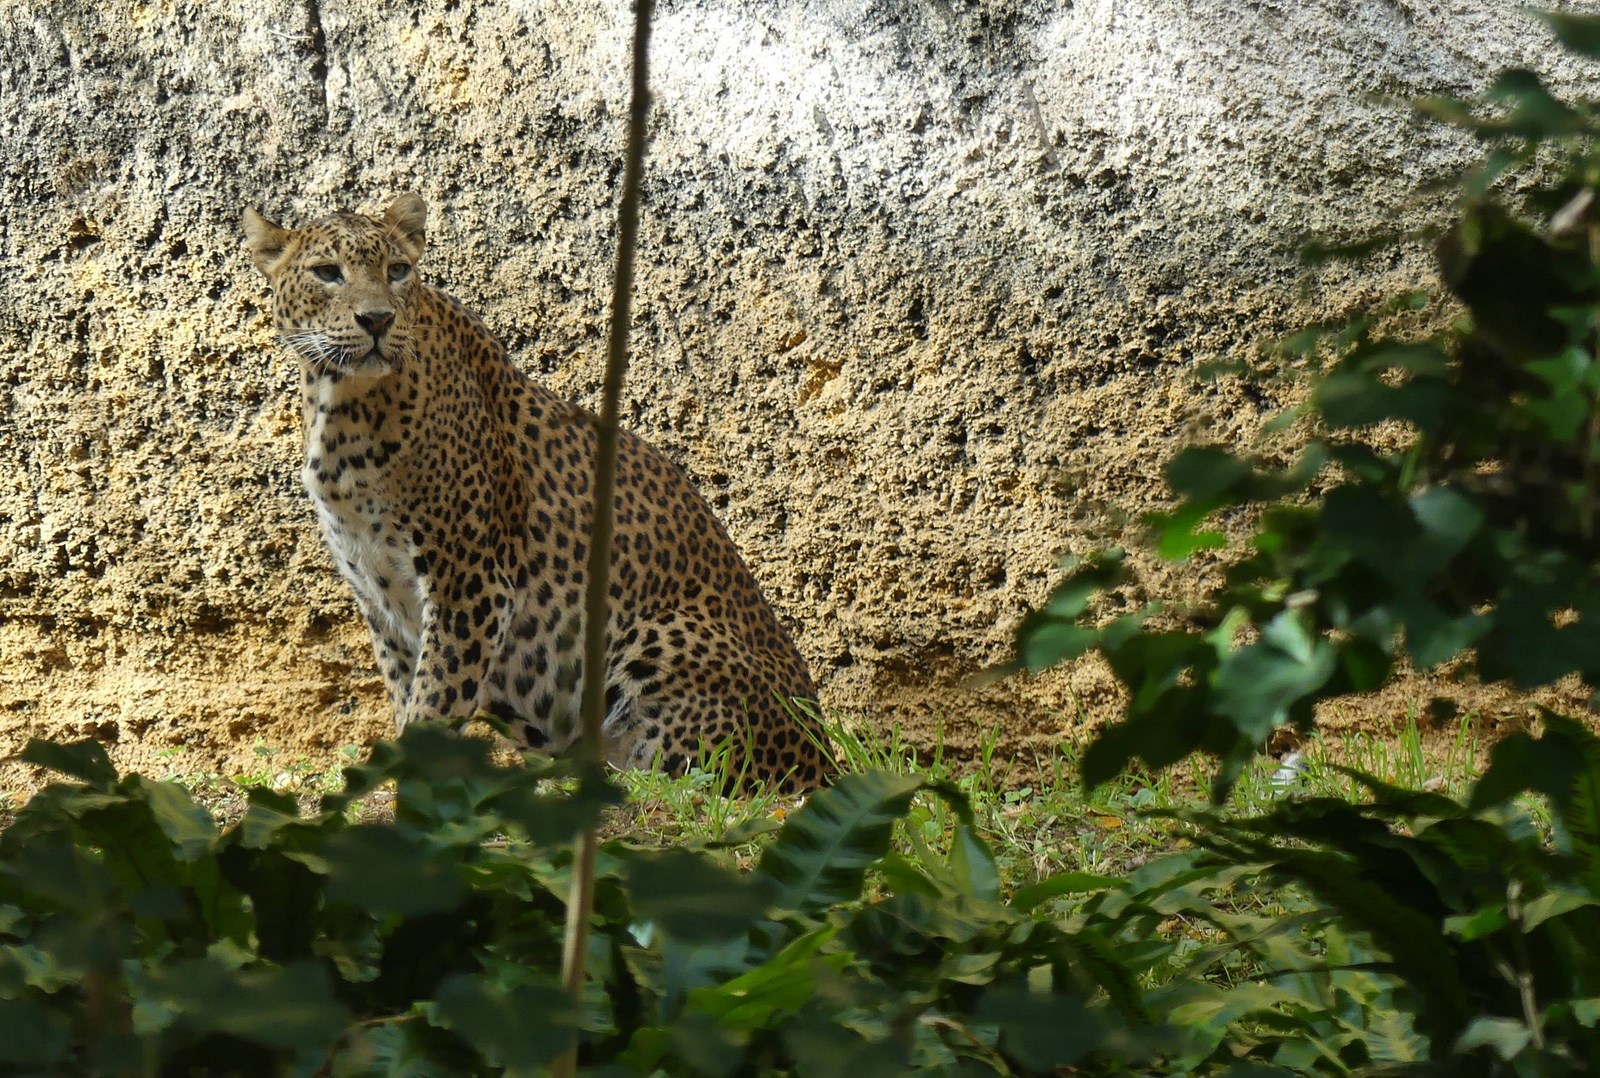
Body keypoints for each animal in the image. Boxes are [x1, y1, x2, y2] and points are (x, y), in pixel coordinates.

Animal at [242, 193, 831, 788]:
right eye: (327, 273)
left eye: (397, 270)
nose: (378, 319)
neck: (340, 404)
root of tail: (824, 758)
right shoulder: (378, 591)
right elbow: (406, 686)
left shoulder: (469, 579)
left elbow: (437, 694)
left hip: (665, 637)